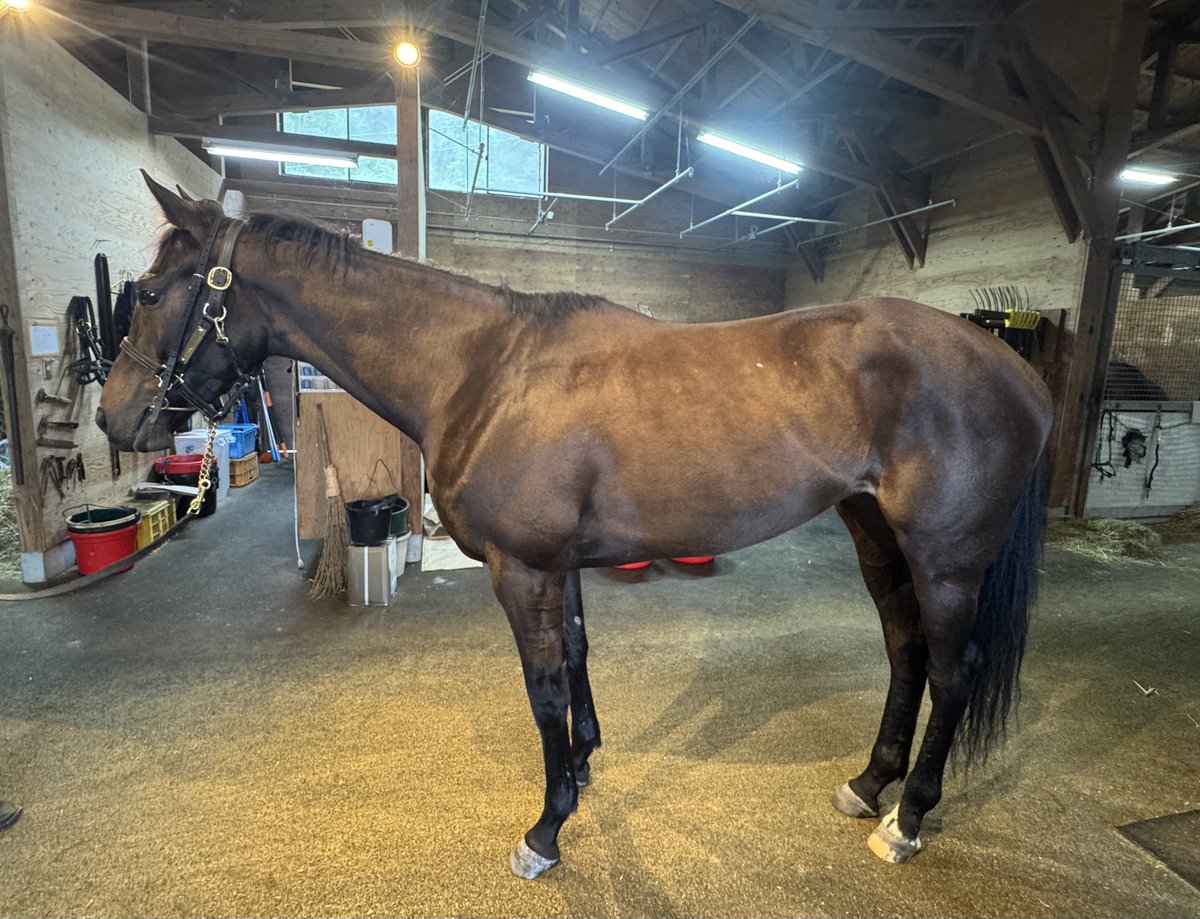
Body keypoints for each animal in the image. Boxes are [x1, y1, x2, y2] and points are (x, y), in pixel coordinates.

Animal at [98, 172, 1053, 877]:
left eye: (148, 293)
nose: (115, 420)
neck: (480, 370)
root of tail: (1013, 367)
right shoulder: (558, 563)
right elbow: (580, 661)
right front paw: (586, 765)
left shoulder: (521, 567)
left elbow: (544, 687)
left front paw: (546, 828)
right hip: (875, 534)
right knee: (906, 652)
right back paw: (868, 783)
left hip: (946, 559)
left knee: (954, 671)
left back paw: (909, 817)